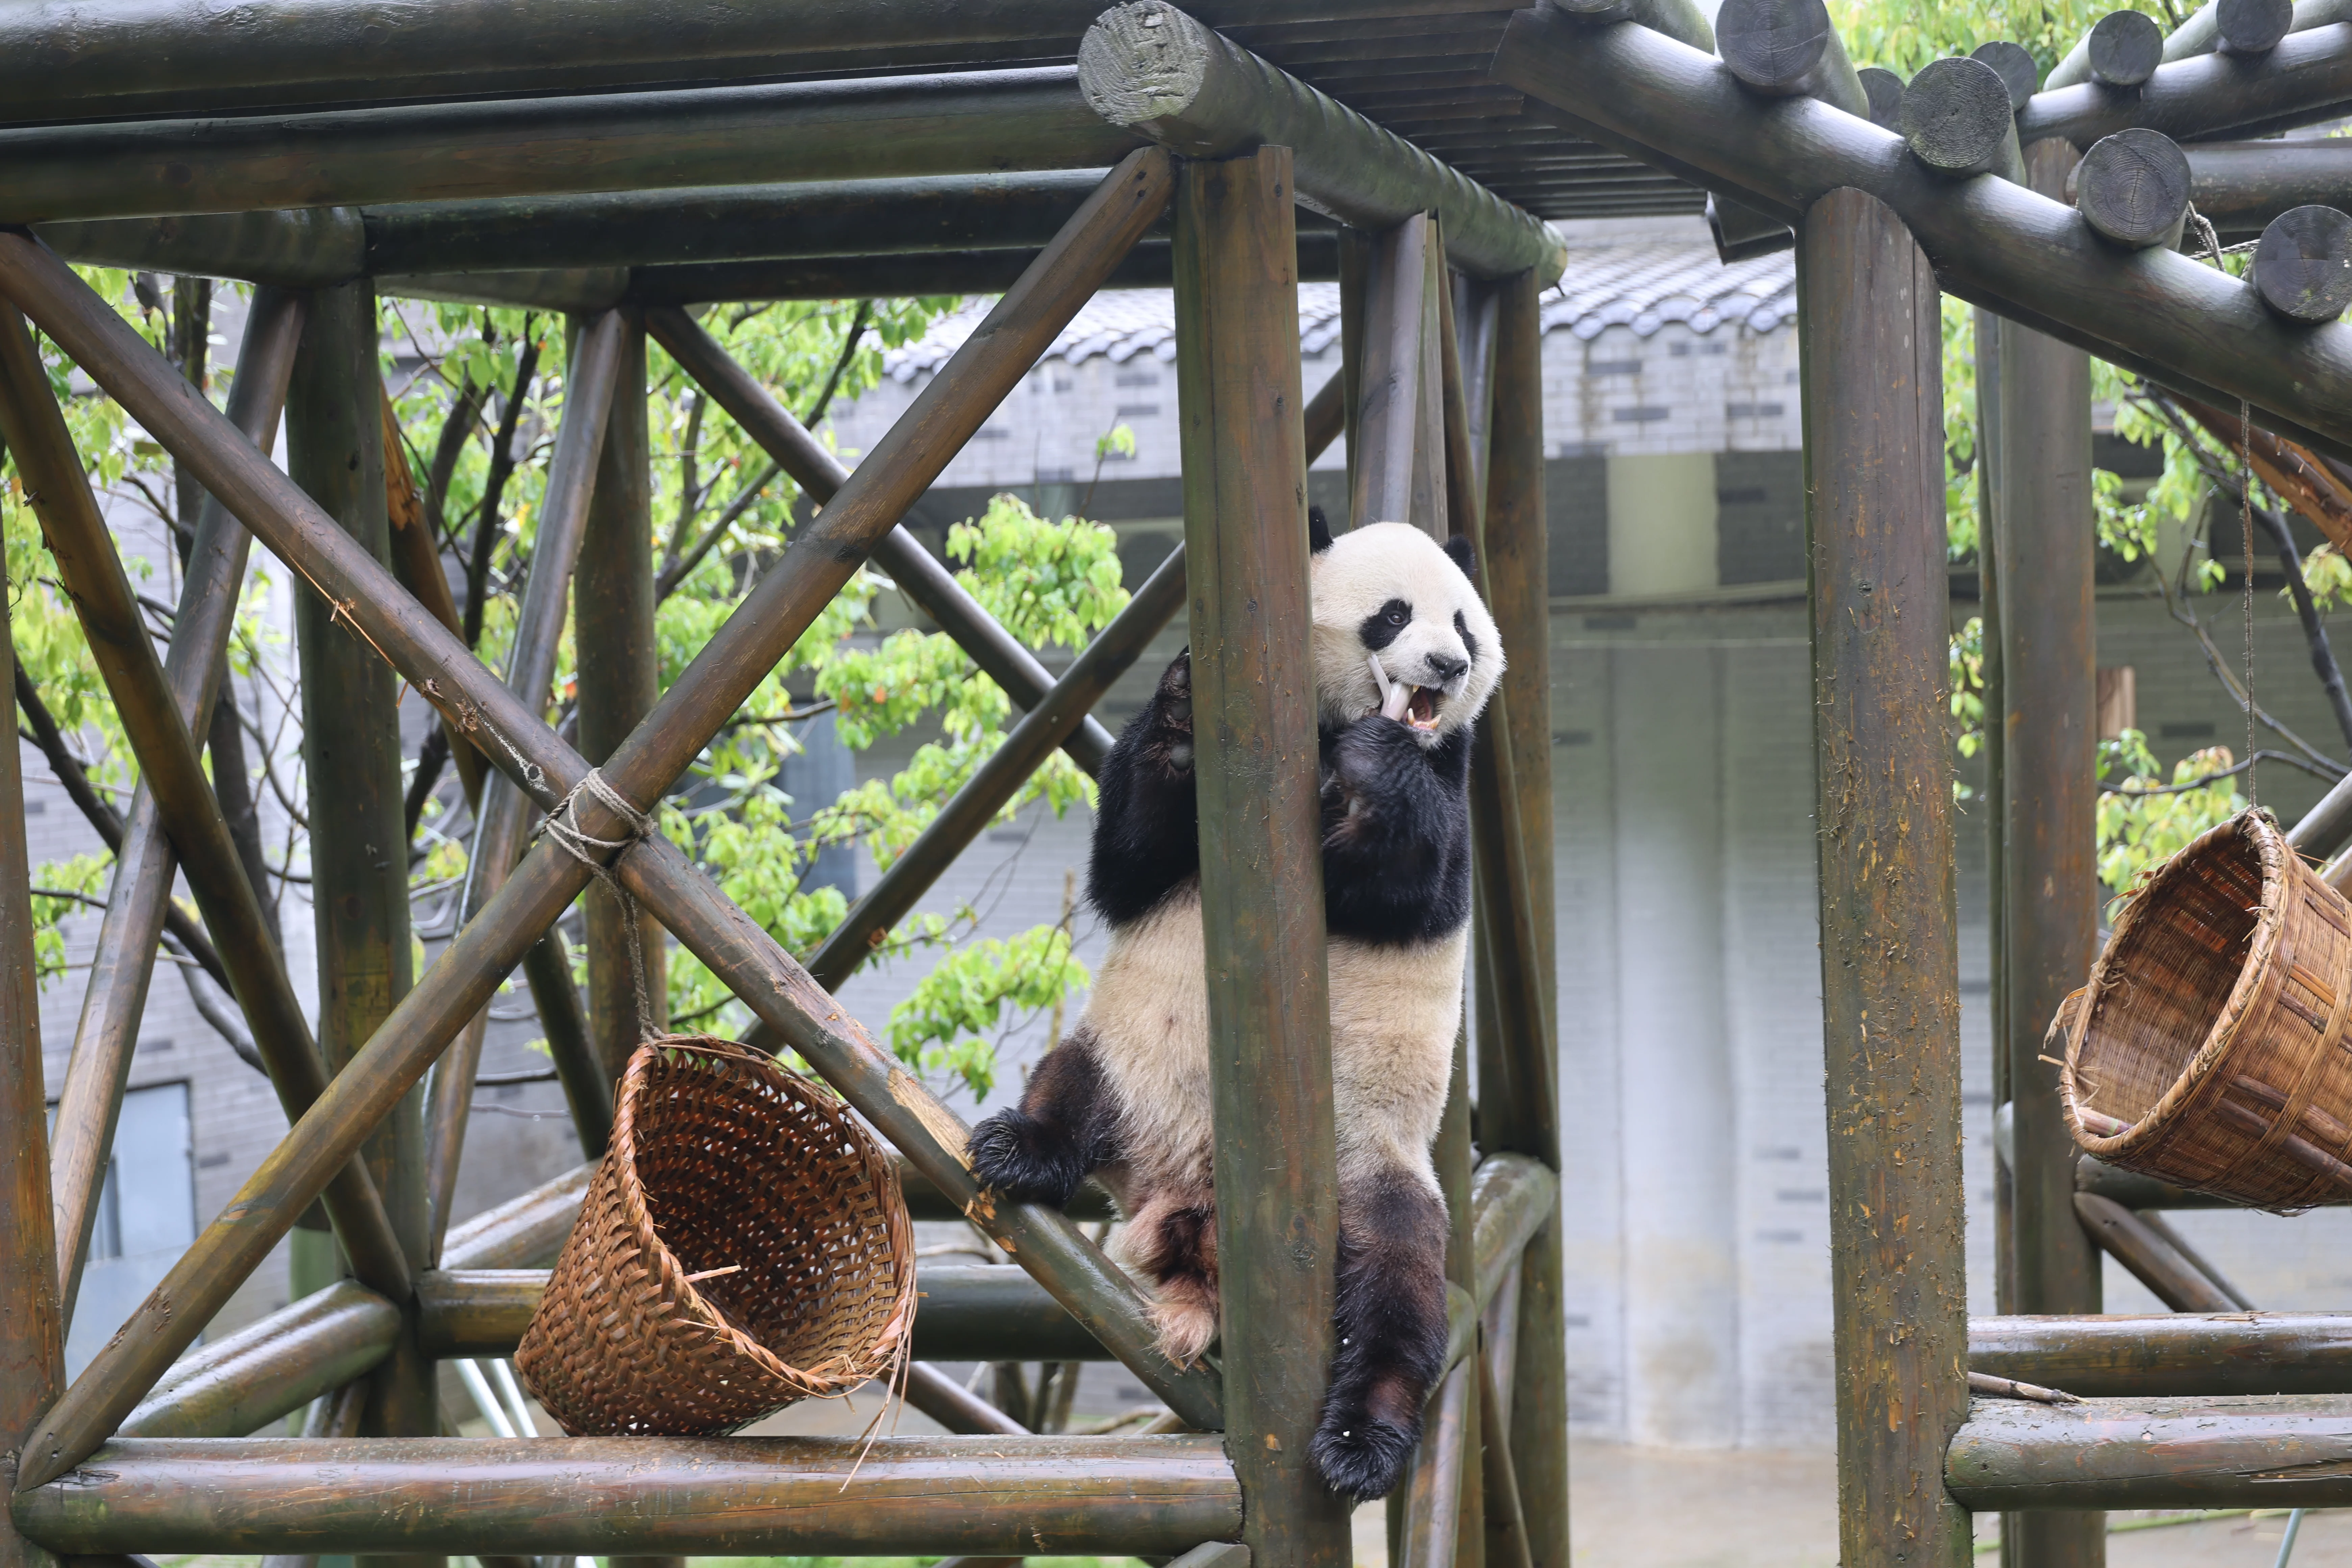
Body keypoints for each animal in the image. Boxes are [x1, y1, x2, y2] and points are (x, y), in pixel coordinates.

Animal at [967, 512, 1503, 1503]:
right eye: (1393, 614)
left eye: (1465, 625)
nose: (1447, 666)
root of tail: (1186, 1198)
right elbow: (1130, 859)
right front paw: (1181, 704)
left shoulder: (1452, 777)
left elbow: (1417, 884)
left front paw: (1378, 772)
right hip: (1124, 1057)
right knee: (1066, 1087)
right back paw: (1021, 1149)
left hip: (1369, 1164)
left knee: (1399, 1285)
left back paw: (1360, 1440)